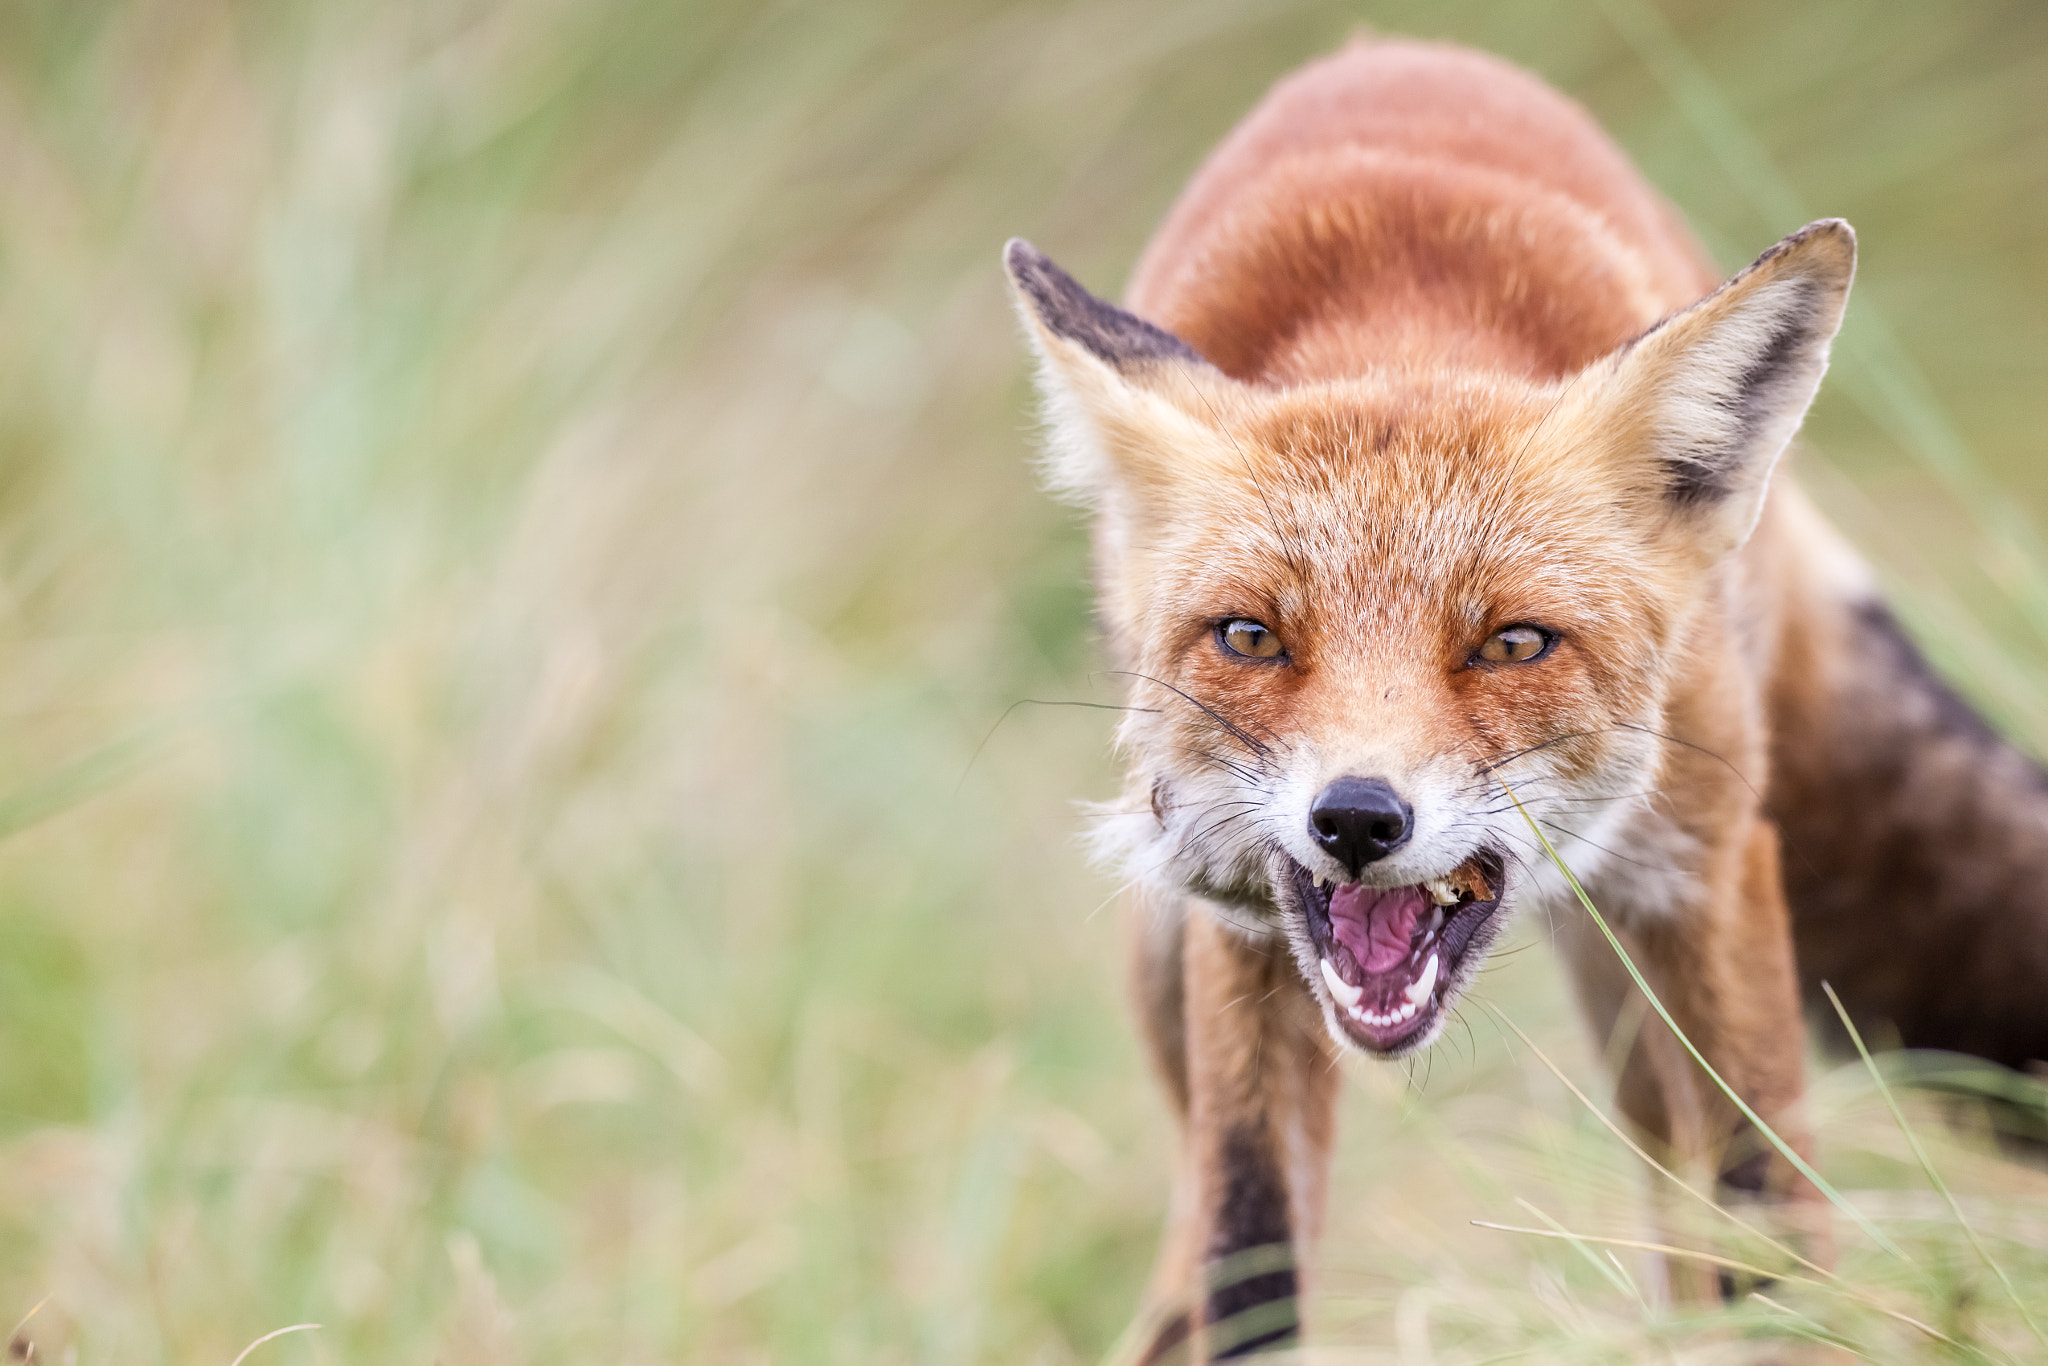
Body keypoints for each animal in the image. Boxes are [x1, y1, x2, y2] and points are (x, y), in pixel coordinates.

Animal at [999, 37, 2039, 1359]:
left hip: (1634, 963)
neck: (1402, 317)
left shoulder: (1709, 871)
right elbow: (1247, 1251)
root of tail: (1397, 51)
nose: (1355, 818)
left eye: (1511, 642)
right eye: (1248, 636)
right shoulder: (1237, 929)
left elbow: (1766, 1223)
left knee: (1682, 1203)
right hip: (1167, 950)